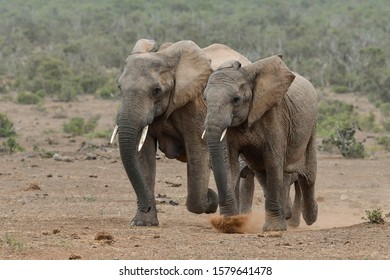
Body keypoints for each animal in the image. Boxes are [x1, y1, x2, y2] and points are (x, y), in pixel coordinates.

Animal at [112, 38, 253, 226]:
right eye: (119, 87)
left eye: (156, 91)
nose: (146, 207)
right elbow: (143, 155)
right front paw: (143, 223)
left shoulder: (196, 105)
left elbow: (197, 153)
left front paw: (210, 199)